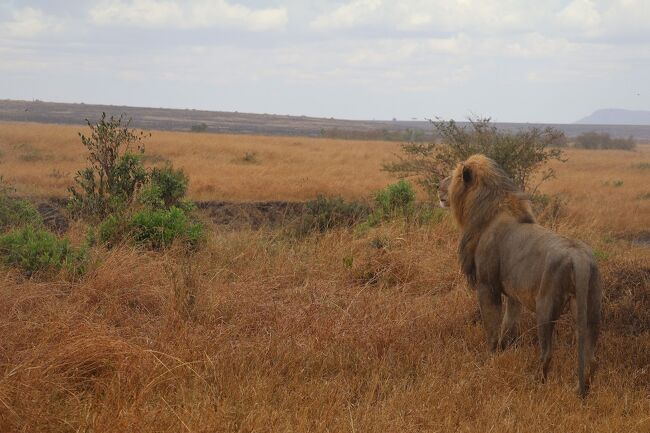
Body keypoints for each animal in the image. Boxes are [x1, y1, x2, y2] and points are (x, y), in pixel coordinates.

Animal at [438, 154, 600, 396]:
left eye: (454, 176)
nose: (437, 186)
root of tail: (580, 258)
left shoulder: (487, 286)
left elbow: (492, 326)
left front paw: (490, 358)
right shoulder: (514, 293)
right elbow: (509, 324)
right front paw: (506, 349)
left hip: (546, 307)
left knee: (547, 353)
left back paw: (536, 383)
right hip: (591, 309)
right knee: (592, 357)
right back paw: (582, 392)